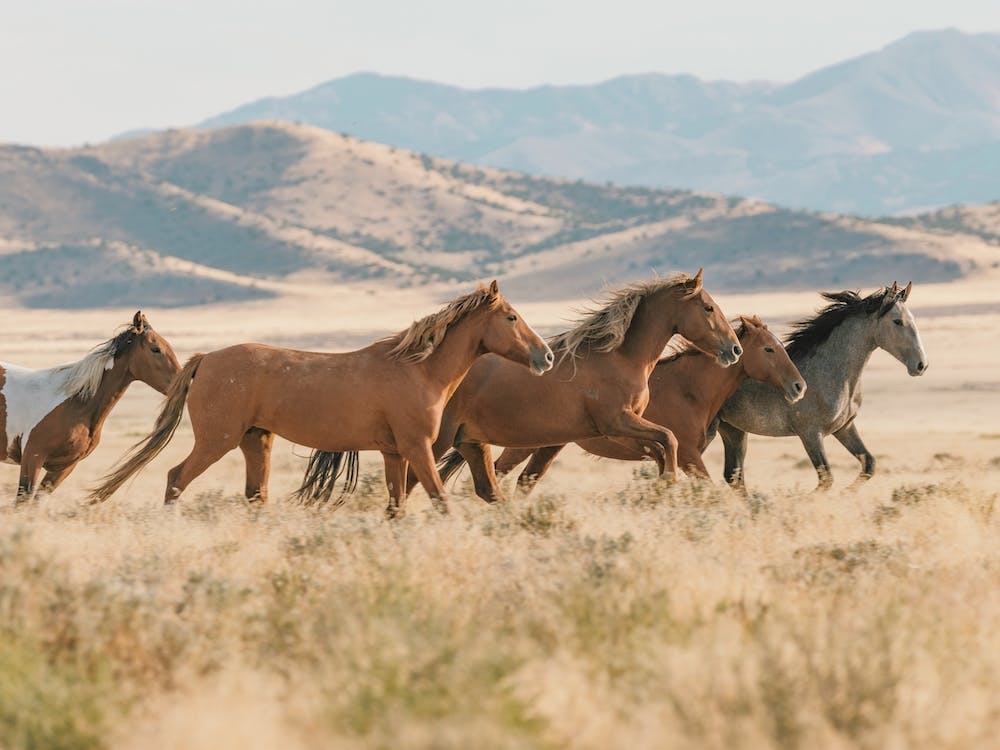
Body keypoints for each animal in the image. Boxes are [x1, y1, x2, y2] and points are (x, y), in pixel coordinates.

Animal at [89, 282, 554, 513]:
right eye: (511, 317)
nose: (546, 356)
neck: (417, 368)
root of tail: (205, 360)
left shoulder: (395, 453)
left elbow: (397, 506)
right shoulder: (418, 448)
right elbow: (440, 501)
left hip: (256, 441)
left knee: (255, 496)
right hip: (216, 441)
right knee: (175, 479)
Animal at [408, 270, 743, 507]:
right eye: (708, 308)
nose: (734, 349)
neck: (619, 358)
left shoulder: (618, 429)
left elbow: (663, 446)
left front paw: (662, 487)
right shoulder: (616, 423)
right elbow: (669, 439)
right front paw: (668, 486)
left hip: (470, 440)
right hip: (440, 440)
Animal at [490, 315, 806, 490]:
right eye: (769, 349)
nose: (799, 386)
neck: (689, 388)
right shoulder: (689, 456)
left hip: (549, 446)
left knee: (523, 480)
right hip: (524, 444)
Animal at [715, 282, 927, 492]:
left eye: (912, 319)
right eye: (897, 321)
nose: (921, 365)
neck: (831, 374)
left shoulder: (844, 427)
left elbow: (869, 464)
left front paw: (846, 494)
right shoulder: (811, 434)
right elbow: (826, 479)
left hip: (733, 430)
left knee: (733, 476)